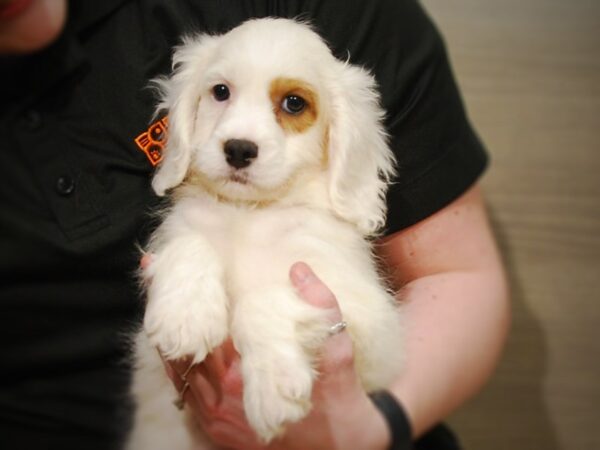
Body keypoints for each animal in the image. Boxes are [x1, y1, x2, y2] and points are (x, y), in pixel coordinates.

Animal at [129, 17, 406, 450]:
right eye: (220, 92)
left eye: (294, 103)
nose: (239, 149)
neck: (251, 213)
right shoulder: (184, 227)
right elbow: (190, 241)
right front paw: (184, 315)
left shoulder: (371, 322)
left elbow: (262, 299)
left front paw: (275, 386)